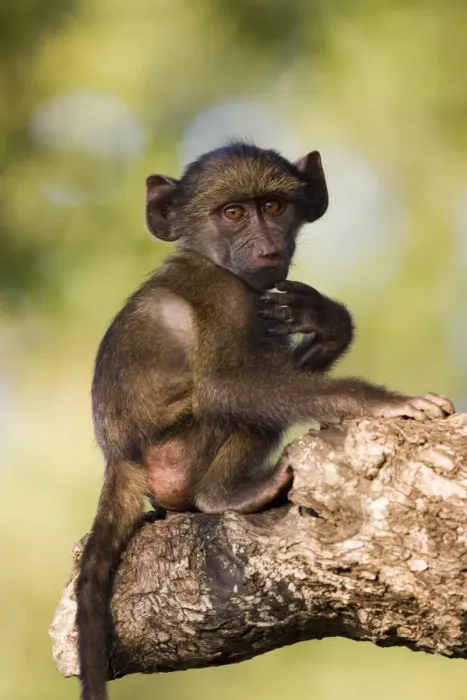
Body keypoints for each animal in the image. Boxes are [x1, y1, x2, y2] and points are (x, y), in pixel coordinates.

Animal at [76, 141, 454, 700]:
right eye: (233, 213)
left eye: (273, 207)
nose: (267, 247)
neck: (211, 258)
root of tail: (119, 456)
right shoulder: (225, 298)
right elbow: (226, 388)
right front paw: (383, 402)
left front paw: (324, 319)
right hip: (177, 452)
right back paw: (226, 494)